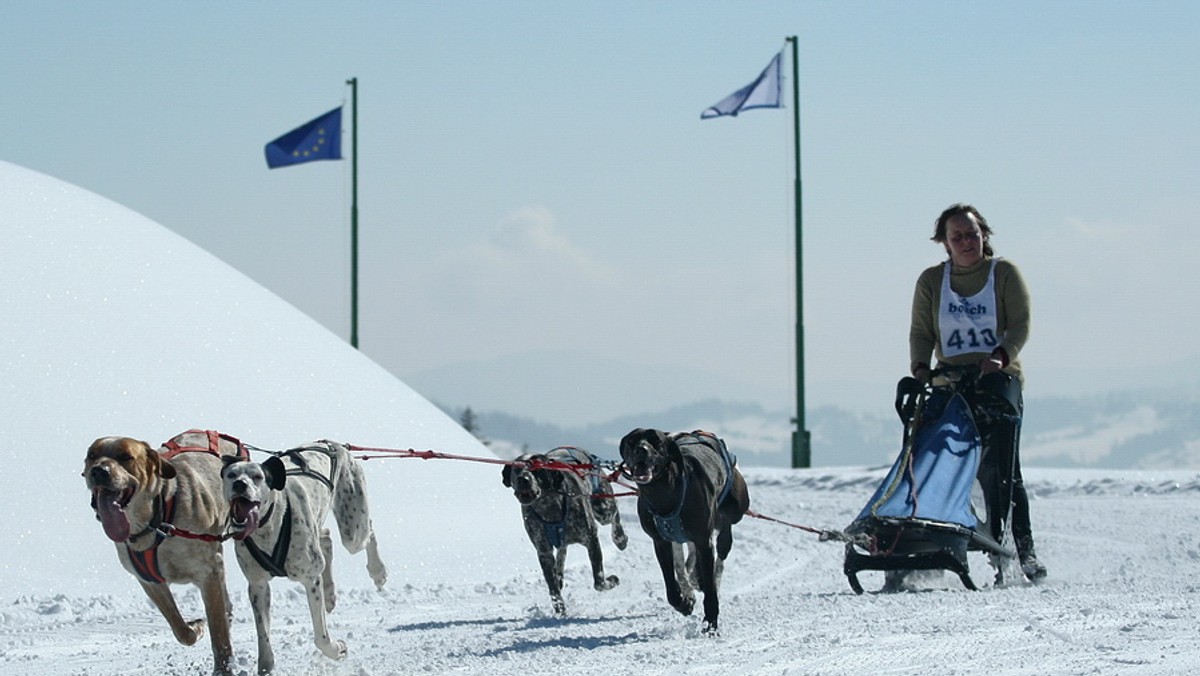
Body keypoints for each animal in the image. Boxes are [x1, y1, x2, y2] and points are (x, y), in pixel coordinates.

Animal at [82, 434, 241, 676]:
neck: (155, 523)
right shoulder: (149, 580)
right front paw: (195, 627)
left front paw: (223, 667)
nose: (99, 471)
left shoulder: (208, 572)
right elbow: (180, 628)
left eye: (126, 457)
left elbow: (219, 631)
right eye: (92, 455)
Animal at [217, 441, 384, 672]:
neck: (268, 526)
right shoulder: (258, 585)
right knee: (326, 538)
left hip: (353, 530)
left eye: (257, 476)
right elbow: (263, 638)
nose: (240, 485)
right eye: (232, 474)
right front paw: (266, 667)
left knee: (369, 531)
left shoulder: (310, 579)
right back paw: (329, 593)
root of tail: (334, 444)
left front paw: (337, 649)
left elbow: (321, 637)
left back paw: (378, 571)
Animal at [499, 446, 628, 614]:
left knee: (615, 513)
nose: (523, 479)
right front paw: (560, 610)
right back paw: (559, 573)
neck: (549, 507)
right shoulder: (544, 552)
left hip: (603, 509)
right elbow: (553, 588)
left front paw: (611, 580)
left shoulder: (591, 539)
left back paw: (620, 539)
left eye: (537, 469)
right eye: (517, 469)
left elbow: (599, 582)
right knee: (562, 550)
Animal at [624, 427, 744, 633]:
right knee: (685, 560)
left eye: (656, 440)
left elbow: (710, 589)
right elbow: (671, 583)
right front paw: (684, 602)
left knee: (721, 549)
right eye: (631, 441)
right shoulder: (661, 542)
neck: (664, 494)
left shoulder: (704, 540)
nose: (641, 449)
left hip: (733, 513)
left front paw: (711, 623)